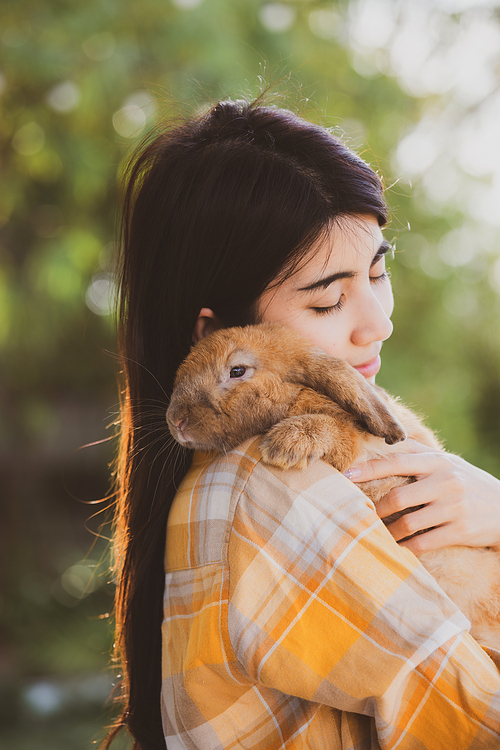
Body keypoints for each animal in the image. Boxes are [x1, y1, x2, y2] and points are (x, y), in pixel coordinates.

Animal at [166, 320, 500, 648]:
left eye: (237, 371)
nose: (175, 420)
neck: (296, 397)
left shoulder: (357, 447)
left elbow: (340, 433)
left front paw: (283, 445)